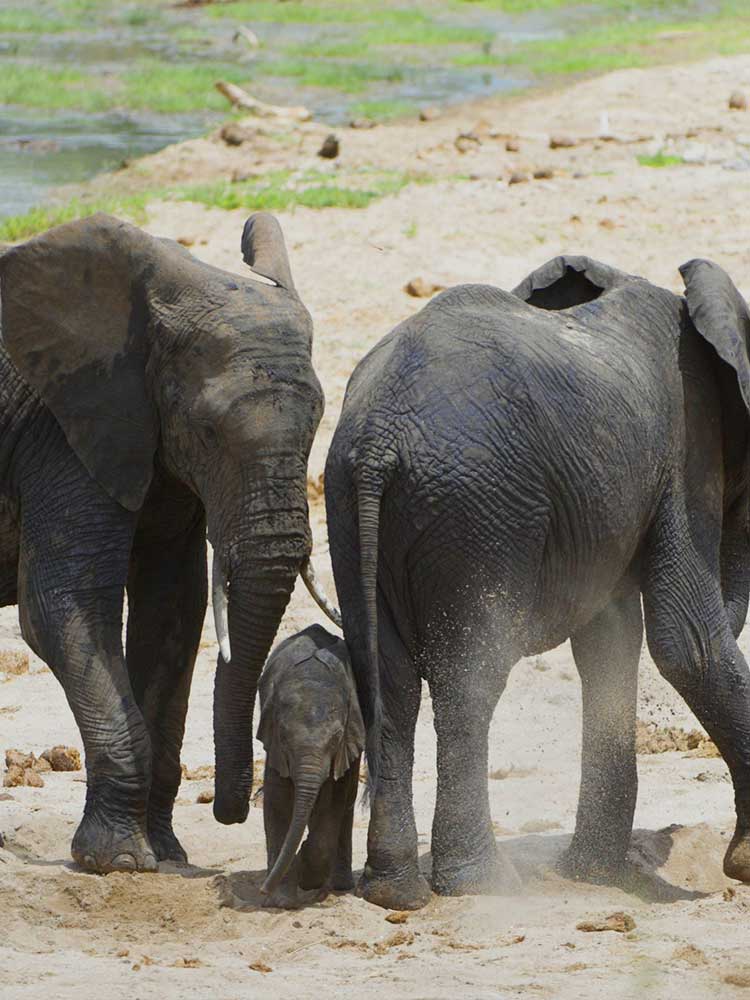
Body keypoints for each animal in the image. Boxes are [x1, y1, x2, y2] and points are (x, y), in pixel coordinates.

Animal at [0, 211, 339, 873]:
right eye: (207, 430)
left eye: (318, 421)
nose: (231, 811)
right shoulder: (66, 429)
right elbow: (62, 607)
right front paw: (120, 862)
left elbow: (173, 609)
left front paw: (166, 855)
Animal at [257, 623, 364, 909]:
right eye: (284, 736)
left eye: (336, 738)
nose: (262, 890)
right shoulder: (275, 748)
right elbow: (278, 803)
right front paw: (281, 901)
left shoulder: (345, 745)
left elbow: (333, 803)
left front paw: (304, 862)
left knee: (346, 803)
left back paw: (338, 885)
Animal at [324, 254, 750, 910]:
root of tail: (378, 440)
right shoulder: (687, 445)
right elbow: (688, 644)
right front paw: (745, 865)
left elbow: (608, 641)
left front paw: (591, 874)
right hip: (476, 512)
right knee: (469, 679)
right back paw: (484, 885)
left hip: (351, 507)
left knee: (389, 683)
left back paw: (395, 893)